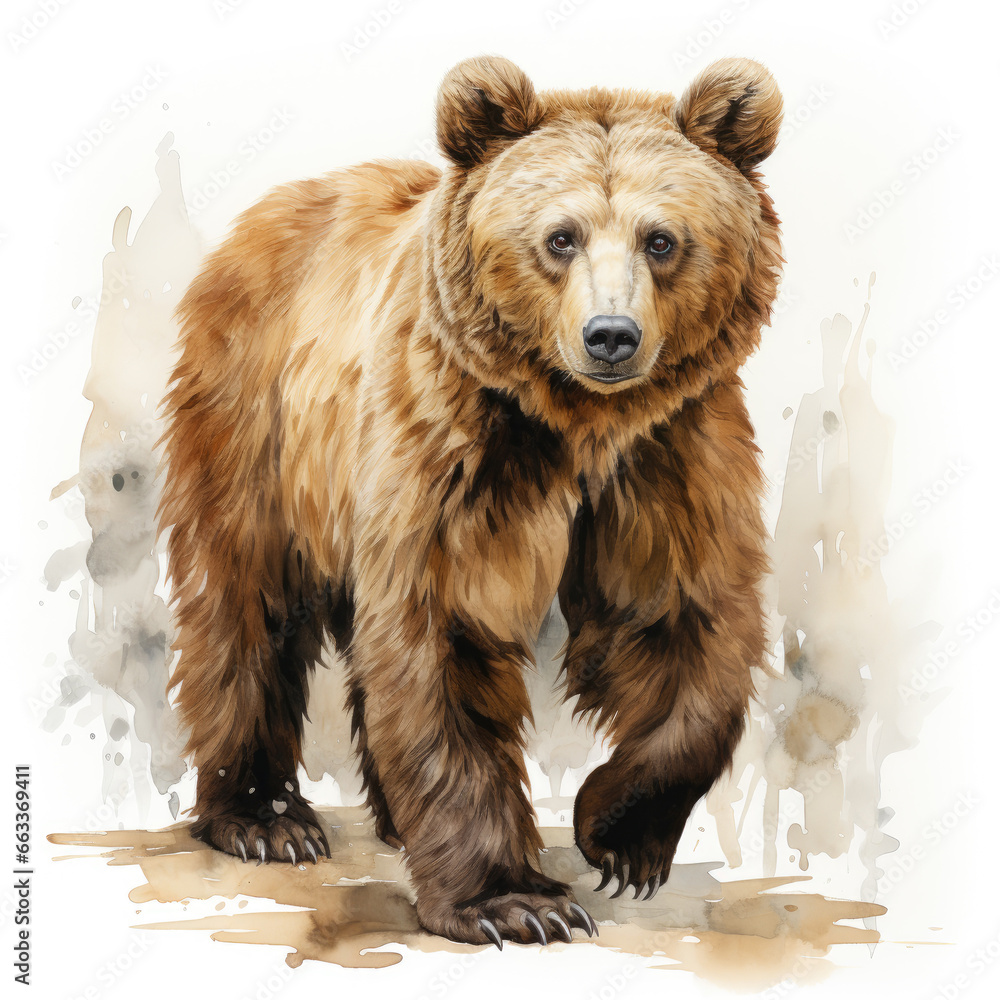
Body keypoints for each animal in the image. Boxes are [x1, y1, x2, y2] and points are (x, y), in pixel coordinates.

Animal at [159, 54, 782, 948]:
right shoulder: (455, 443)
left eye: (662, 239)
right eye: (561, 236)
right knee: (247, 596)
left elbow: (686, 621)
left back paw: (386, 815)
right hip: (258, 416)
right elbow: (447, 626)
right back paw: (263, 817)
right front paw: (516, 900)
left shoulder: (668, 453)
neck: (576, 422)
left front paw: (618, 836)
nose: (611, 336)